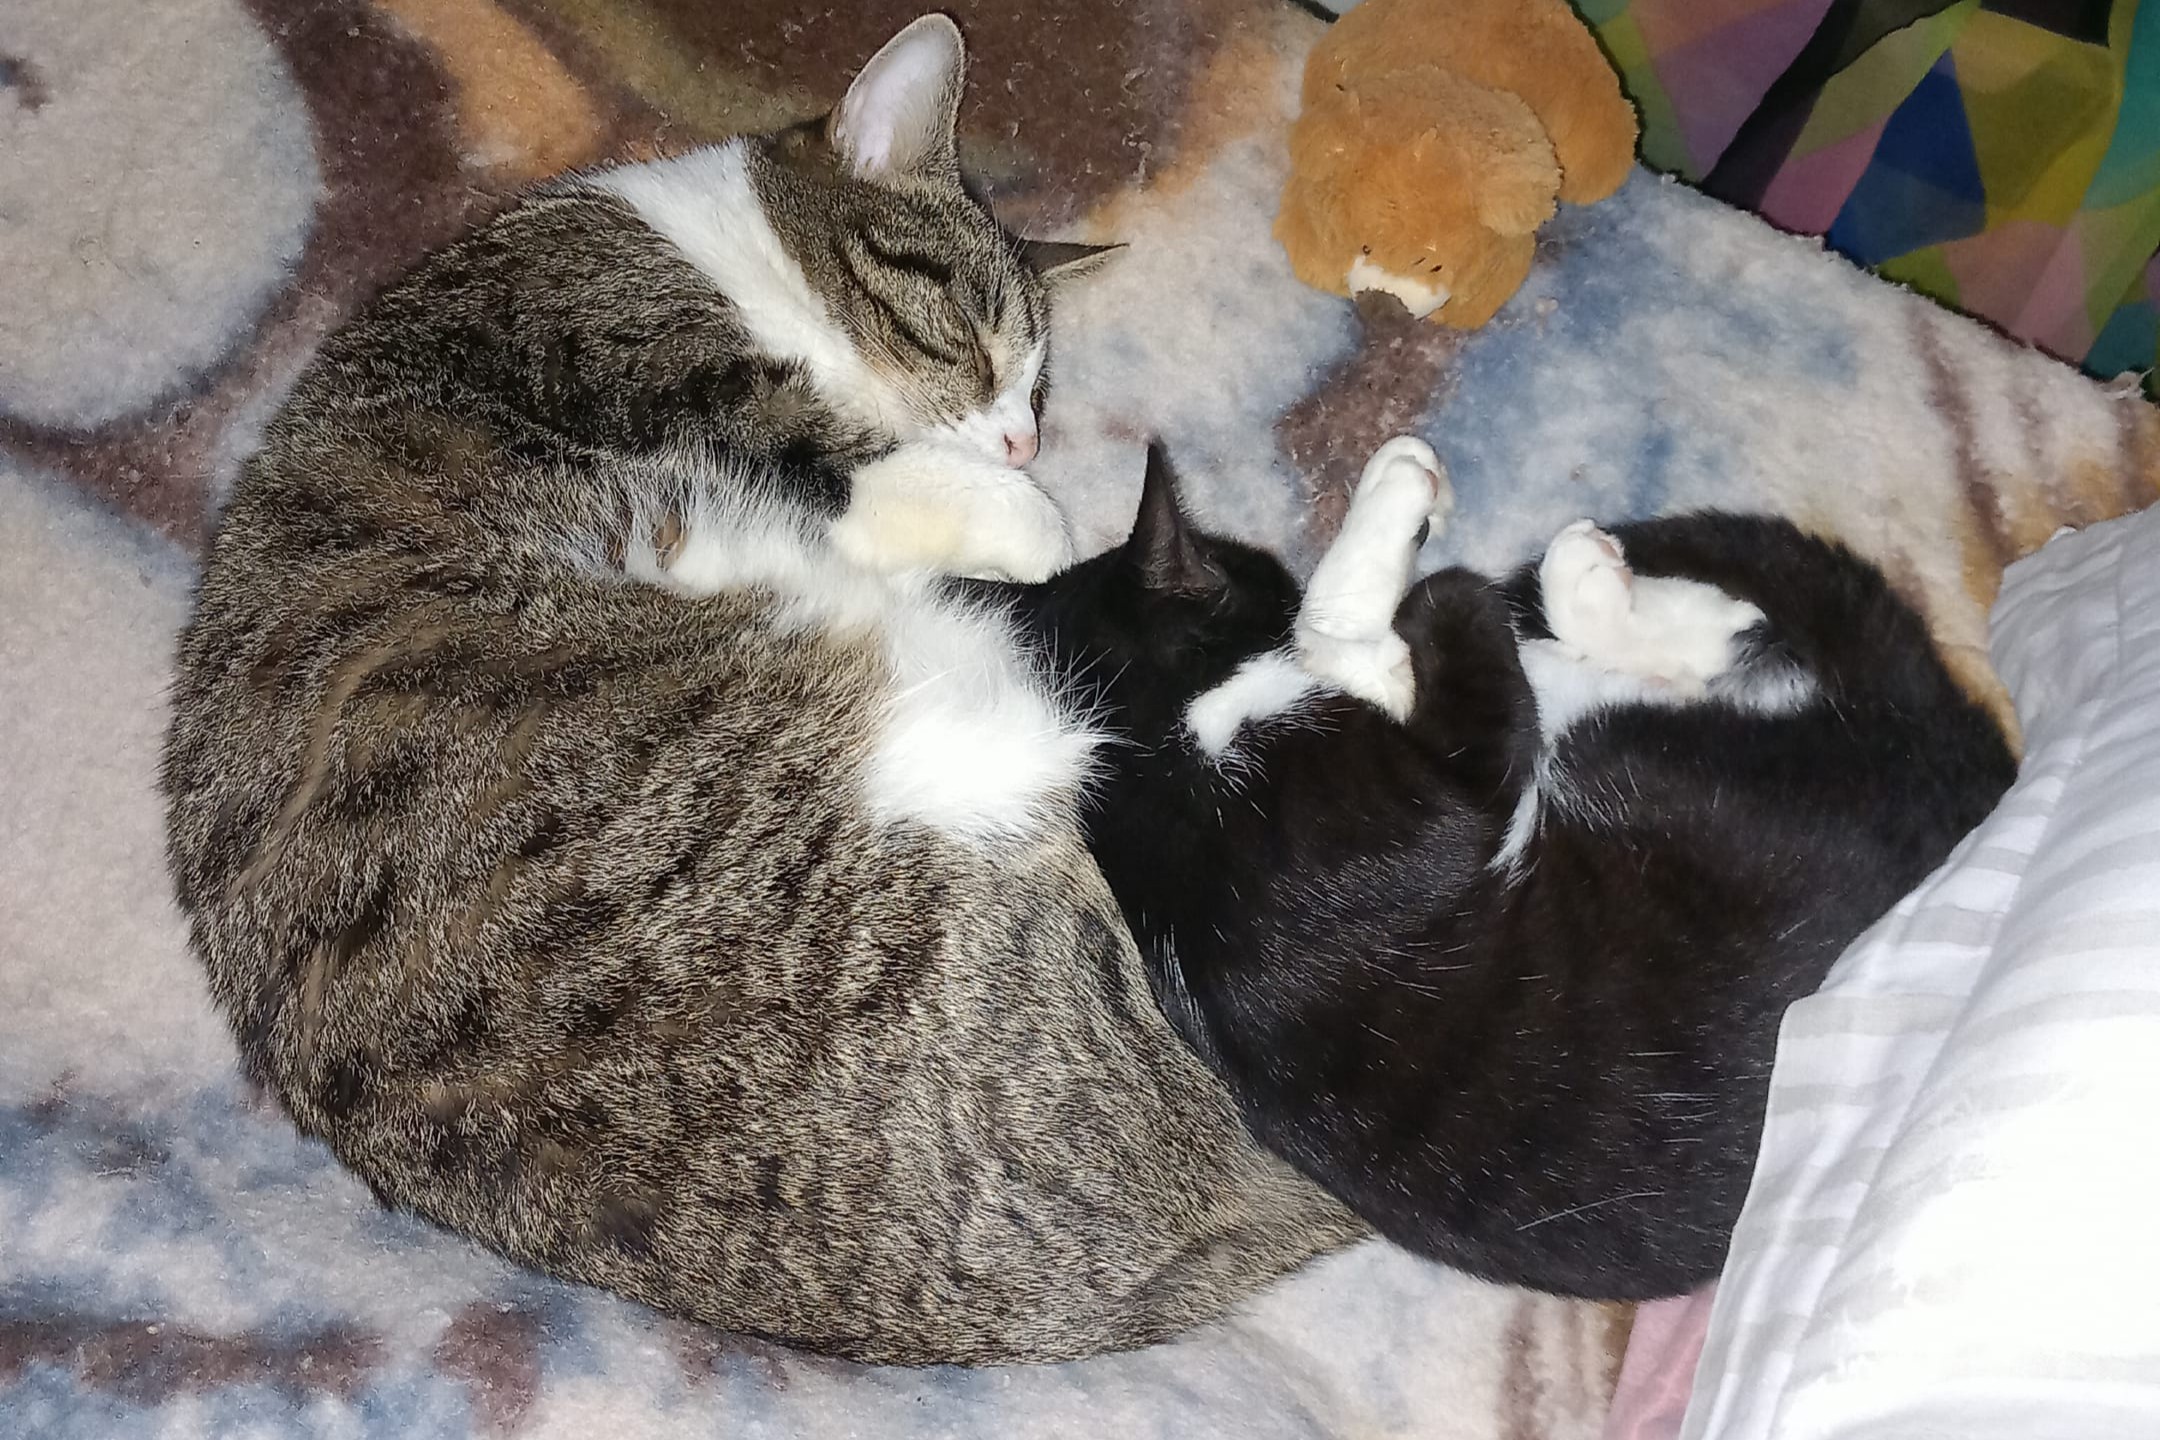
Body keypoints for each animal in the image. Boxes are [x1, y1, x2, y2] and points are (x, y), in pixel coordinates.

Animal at [160, 15, 1361, 1367]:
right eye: (974, 342)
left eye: (1043, 389)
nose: (1024, 440)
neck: (710, 245)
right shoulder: (655, 366)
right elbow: (860, 462)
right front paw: (1029, 515)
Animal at [994, 436, 2017, 1301]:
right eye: (1260, 575)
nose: (1280, 573)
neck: (1144, 755)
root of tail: (1957, 748)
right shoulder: (1425, 799)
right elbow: (1374, 644)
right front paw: (1410, 550)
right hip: (1654, 768)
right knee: (1643, 674)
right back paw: (1617, 592)